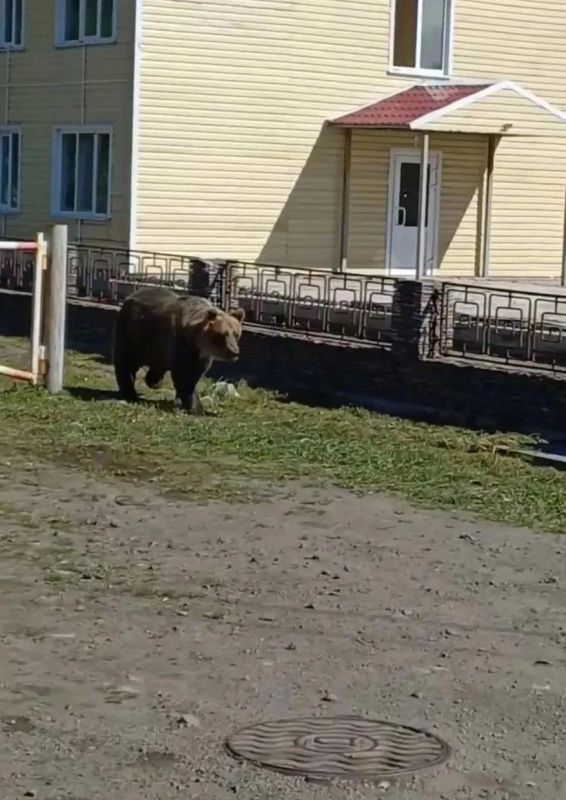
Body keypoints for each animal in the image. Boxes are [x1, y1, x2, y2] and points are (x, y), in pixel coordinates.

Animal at [113, 286, 245, 415]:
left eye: (236, 334)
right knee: (126, 361)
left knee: (157, 364)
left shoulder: (201, 356)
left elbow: (194, 375)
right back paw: (130, 392)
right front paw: (196, 408)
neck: (197, 340)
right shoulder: (181, 343)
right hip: (134, 333)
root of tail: (130, 296)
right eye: (221, 335)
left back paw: (153, 381)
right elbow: (183, 375)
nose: (234, 352)